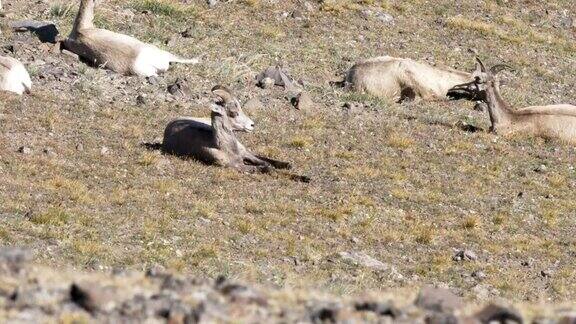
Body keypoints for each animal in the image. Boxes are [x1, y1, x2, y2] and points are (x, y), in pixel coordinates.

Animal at [163, 86, 306, 180]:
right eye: (233, 112)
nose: (252, 125)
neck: (224, 148)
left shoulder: (244, 156)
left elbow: (265, 163)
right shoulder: (236, 166)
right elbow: (266, 167)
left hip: (244, 150)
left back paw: (288, 165)